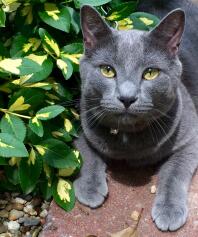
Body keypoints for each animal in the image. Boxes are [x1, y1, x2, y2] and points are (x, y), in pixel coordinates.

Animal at [73, 0, 198, 231]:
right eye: (107, 70)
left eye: (150, 73)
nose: (127, 97)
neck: (128, 142)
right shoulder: (82, 120)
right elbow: (85, 150)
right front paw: (89, 187)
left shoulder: (191, 137)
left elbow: (174, 171)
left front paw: (169, 210)